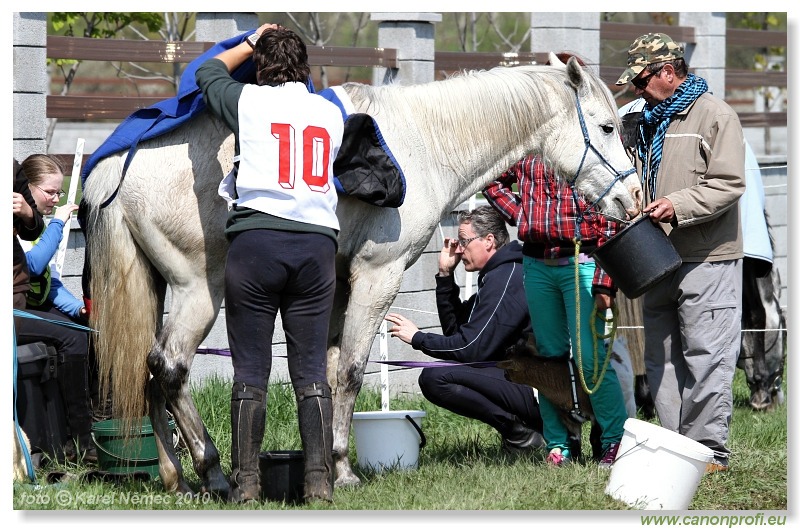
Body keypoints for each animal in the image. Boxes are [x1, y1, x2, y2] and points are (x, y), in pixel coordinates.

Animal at [83, 55, 644, 494]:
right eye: (607, 127)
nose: (633, 196)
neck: (425, 140)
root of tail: (116, 171)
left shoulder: (335, 287)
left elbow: (326, 373)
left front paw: (329, 463)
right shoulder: (378, 276)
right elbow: (352, 371)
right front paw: (343, 469)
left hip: (159, 290)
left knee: (148, 371)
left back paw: (175, 476)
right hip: (201, 291)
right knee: (170, 367)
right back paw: (213, 471)